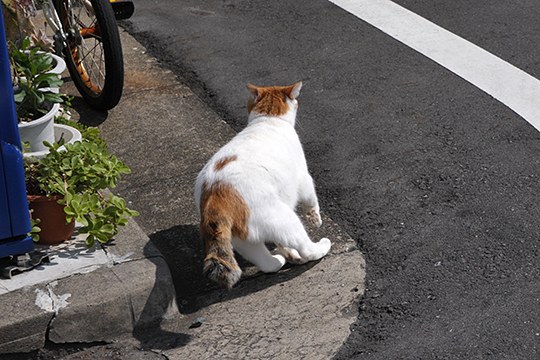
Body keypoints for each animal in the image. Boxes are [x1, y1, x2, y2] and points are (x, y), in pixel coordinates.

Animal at [194, 82, 330, 290]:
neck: (268, 119)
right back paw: (320, 247)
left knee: (267, 264)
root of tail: (214, 197)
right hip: (283, 218)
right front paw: (315, 218)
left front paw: (285, 250)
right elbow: (311, 198)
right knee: (305, 248)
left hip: (243, 240)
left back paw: (282, 258)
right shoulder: (303, 176)